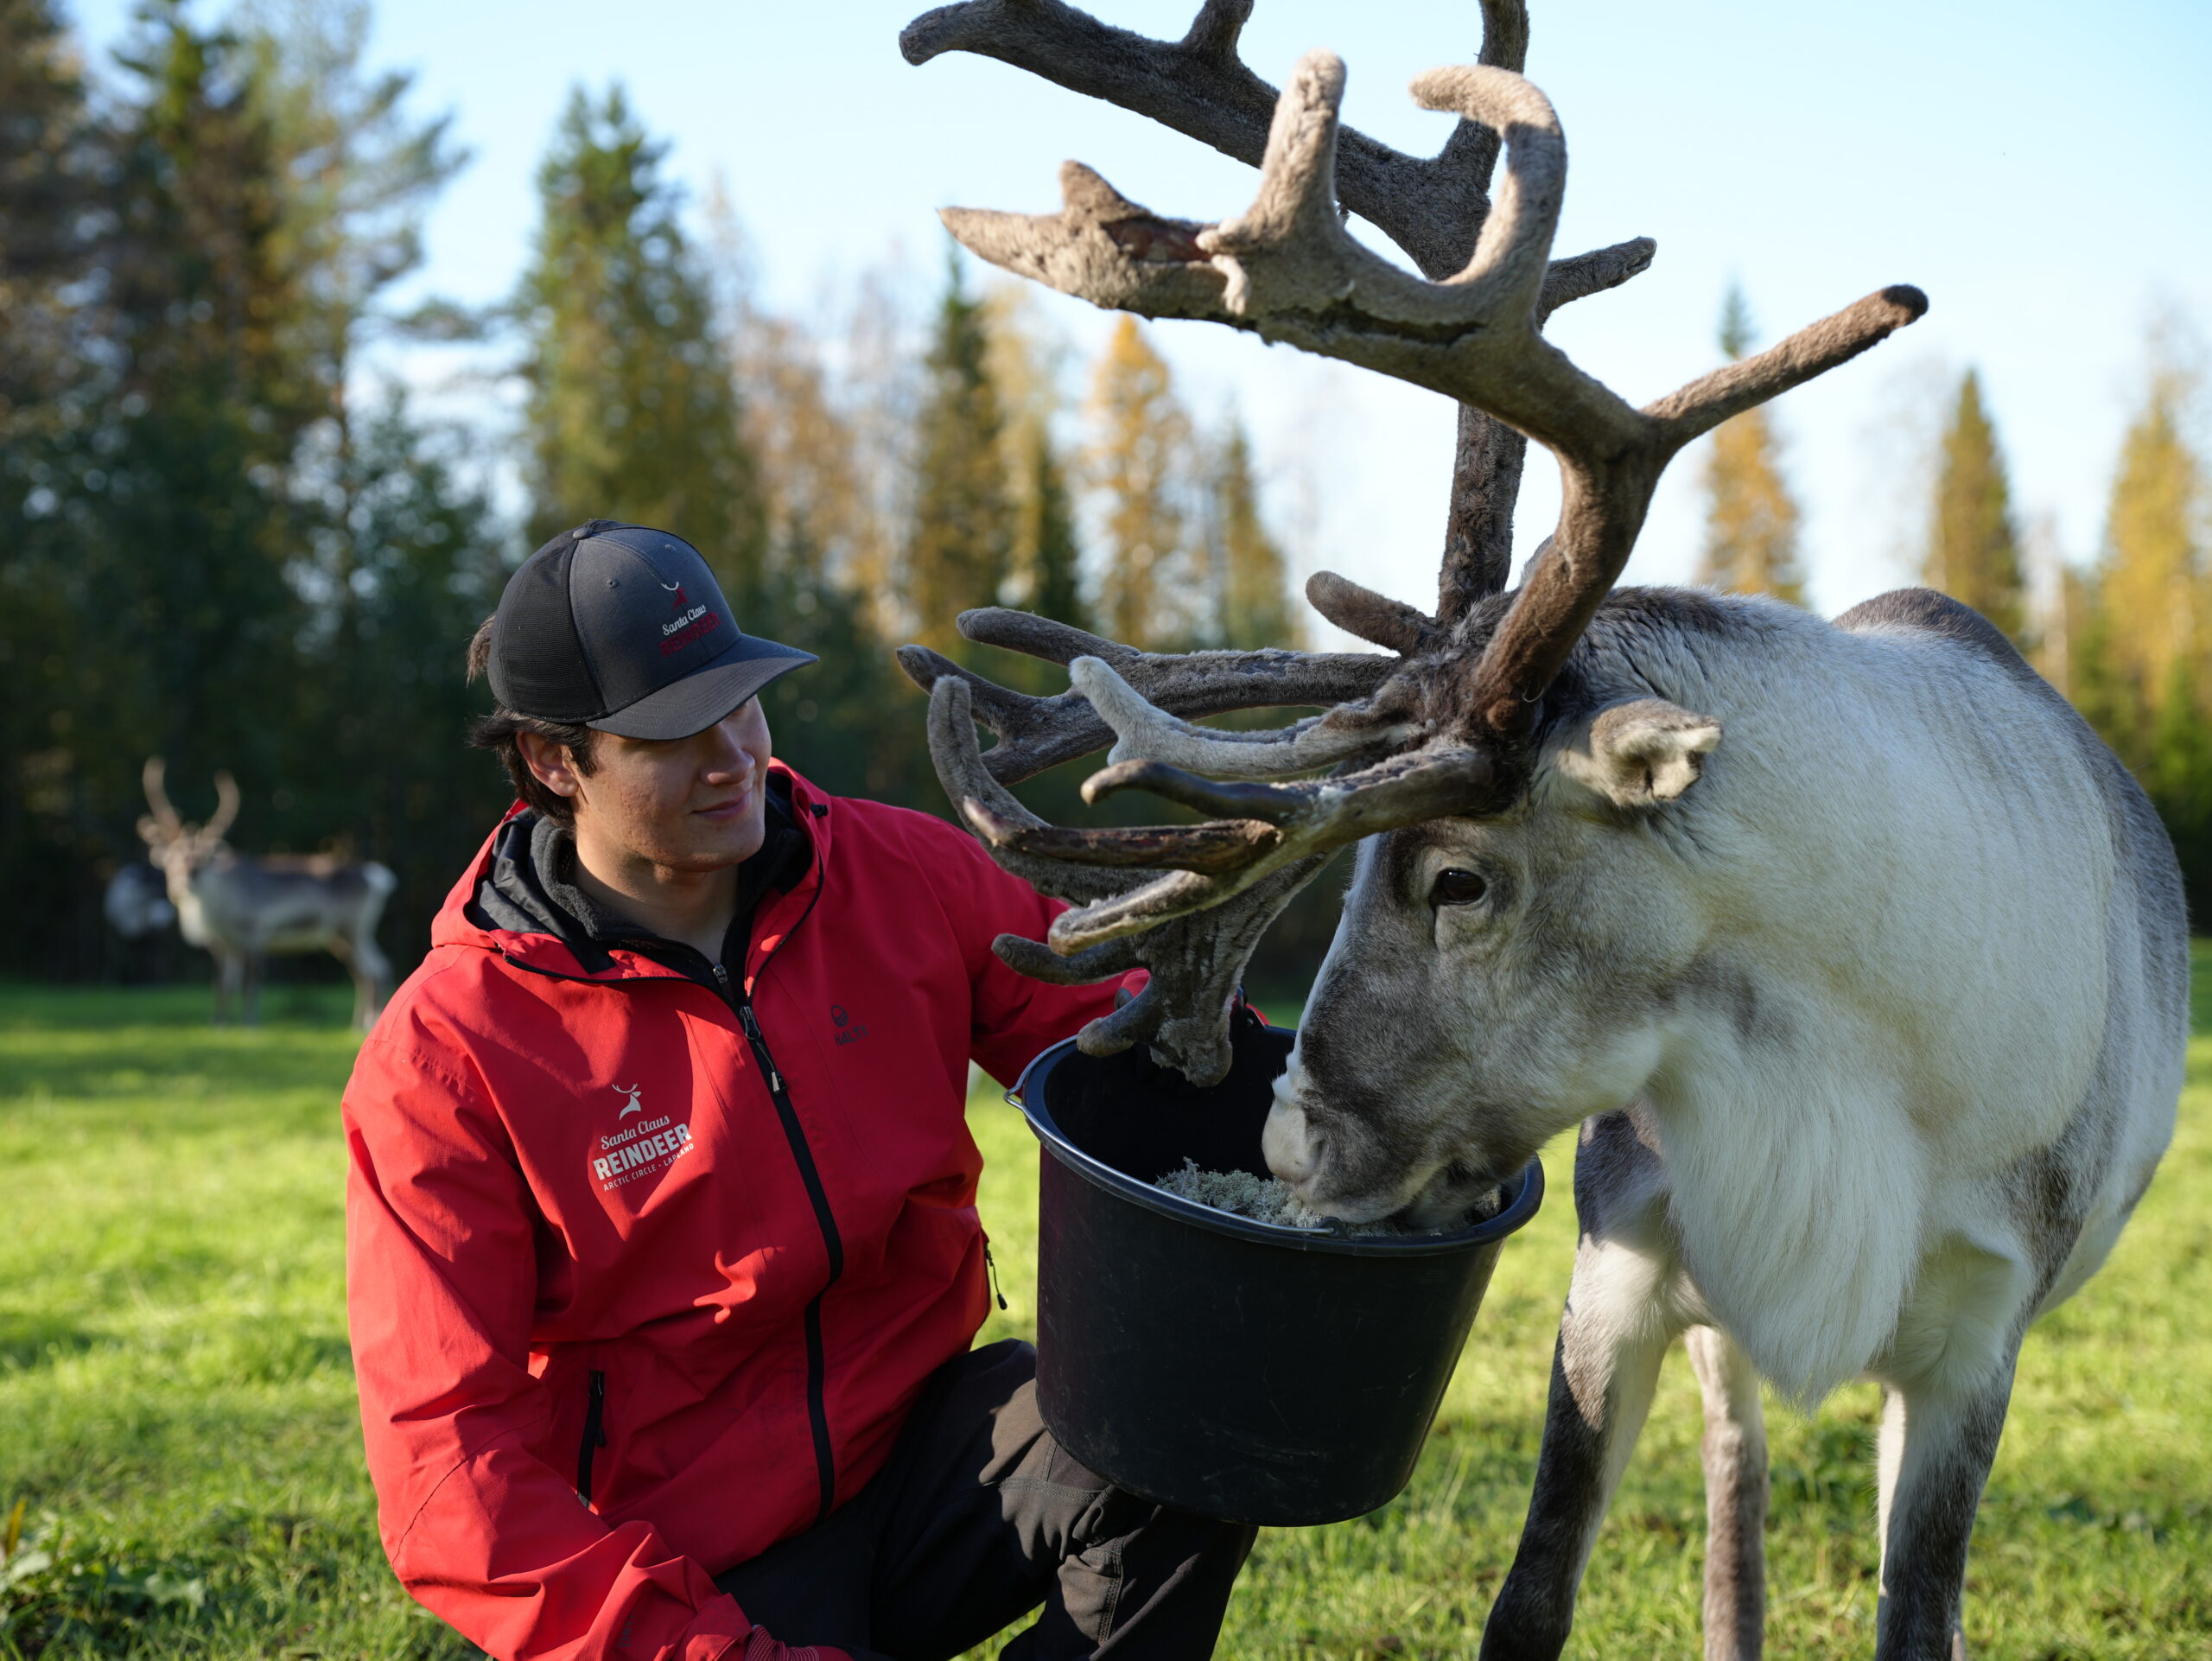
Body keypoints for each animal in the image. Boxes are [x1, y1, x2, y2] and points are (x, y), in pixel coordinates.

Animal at [138, 758, 398, 1030]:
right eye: (171, 860)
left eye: (203, 862)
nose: (182, 885)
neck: (213, 910)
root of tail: (378, 876)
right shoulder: (220, 942)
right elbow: (221, 983)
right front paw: (219, 1024)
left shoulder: (254, 933)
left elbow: (249, 981)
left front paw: (249, 1024)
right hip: (339, 937)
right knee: (366, 971)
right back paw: (359, 1022)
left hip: (353, 928)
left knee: (375, 969)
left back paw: (367, 1021)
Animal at [889, 4, 2188, 1658]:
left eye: (1459, 875)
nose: (1289, 1136)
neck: (1855, 1065)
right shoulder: (1621, 1263)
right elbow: (1533, 1594)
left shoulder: (1980, 1338)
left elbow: (1920, 1611)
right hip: (1714, 1335)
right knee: (1736, 1484)